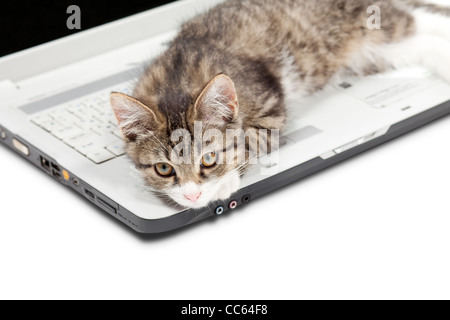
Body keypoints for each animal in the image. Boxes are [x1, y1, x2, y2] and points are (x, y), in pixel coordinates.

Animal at [110, 0, 450, 209]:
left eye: (209, 159)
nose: (192, 195)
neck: (177, 77)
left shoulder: (270, 103)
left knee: (419, 18)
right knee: (419, 43)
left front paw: (224, 181)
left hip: (373, 21)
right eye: (163, 168)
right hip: (373, 53)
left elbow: (250, 139)